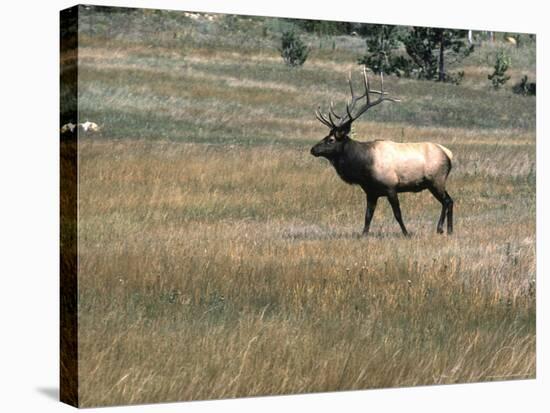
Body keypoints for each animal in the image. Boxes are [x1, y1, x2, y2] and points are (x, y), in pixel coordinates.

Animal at [312, 67, 454, 235]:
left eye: (331, 139)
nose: (313, 149)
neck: (363, 168)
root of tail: (448, 154)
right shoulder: (371, 192)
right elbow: (368, 216)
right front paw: (363, 234)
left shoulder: (391, 187)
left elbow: (397, 214)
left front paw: (406, 233)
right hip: (435, 182)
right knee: (449, 200)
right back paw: (448, 230)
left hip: (436, 179)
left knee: (447, 200)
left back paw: (441, 229)